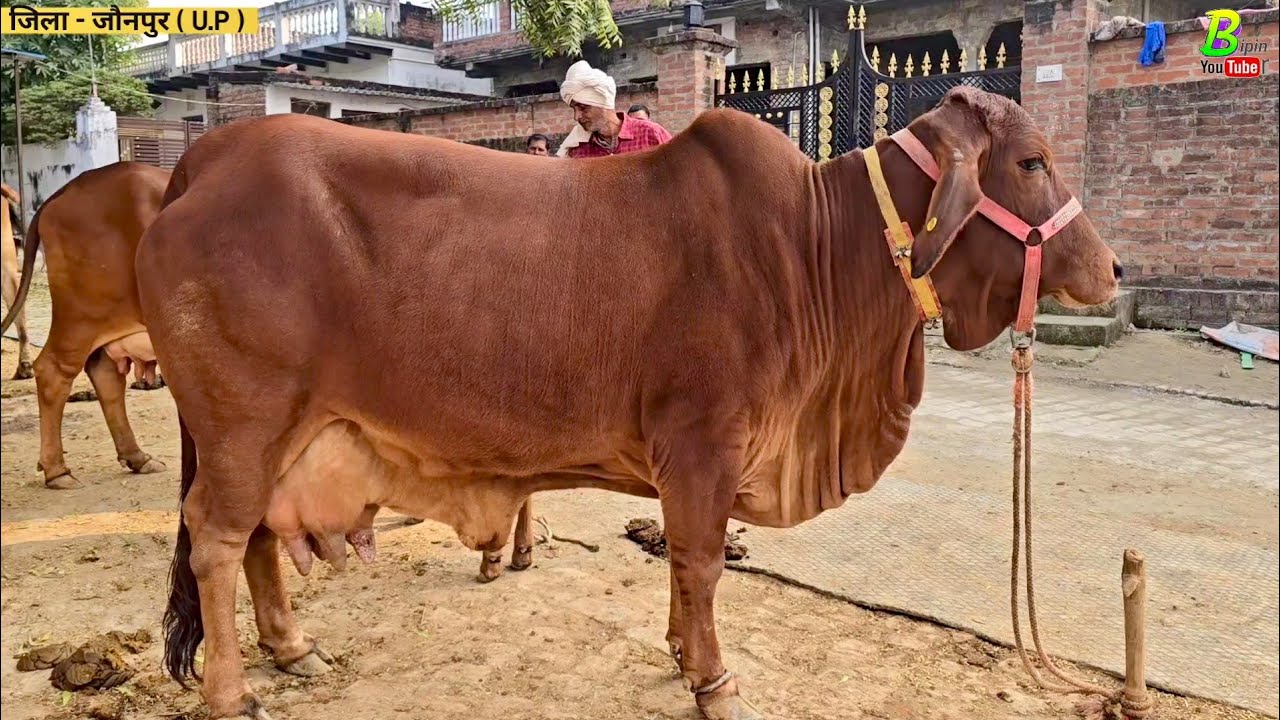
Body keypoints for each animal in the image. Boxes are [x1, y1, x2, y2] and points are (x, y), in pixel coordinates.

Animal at [138, 86, 1121, 720]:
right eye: (1030, 160)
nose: (1113, 269)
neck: (816, 243)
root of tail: (203, 159)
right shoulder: (705, 443)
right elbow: (702, 562)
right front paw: (713, 680)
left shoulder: (691, 461)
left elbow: (685, 566)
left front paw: (683, 652)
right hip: (246, 422)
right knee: (219, 538)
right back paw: (233, 689)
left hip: (270, 433)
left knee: (258, 536)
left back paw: (292, 647)